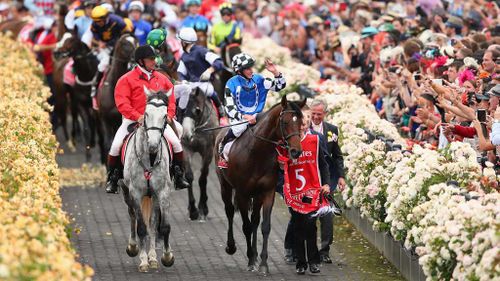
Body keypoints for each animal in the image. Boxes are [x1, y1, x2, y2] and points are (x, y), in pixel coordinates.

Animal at [119, 87, 176, 272]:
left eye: (165, 115)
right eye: (146, 113)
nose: (152, 145)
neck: (149, 158)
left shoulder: (163, 192)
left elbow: (162, 227)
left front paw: (166, 257)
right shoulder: (135, 193)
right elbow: (141, 228)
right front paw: (143, 261)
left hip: (154, 197)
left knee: (152, 223)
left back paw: (152, 257)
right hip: (126, 192)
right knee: (133, 217)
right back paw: (134, 248)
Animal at [181, 86, 218, 220]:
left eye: (197, 110)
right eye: (181, 109)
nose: (186, 135)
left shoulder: (208, 150)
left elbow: (203, 178)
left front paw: (203, 207)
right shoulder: (186, 148)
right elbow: (189, 176)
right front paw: (193, 210)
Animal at [214, 94, 304, 274]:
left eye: (301, 122)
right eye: (285, 122)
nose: (296, 151)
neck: (257, 153)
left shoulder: (267, 192)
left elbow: (264, 226)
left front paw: (262, 263)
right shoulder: (242, 193)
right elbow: (246, 226)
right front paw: (250, 259)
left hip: (256, 195)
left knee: (255, 219)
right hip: (225, 186)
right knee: (229, 211)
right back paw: (231, 246)